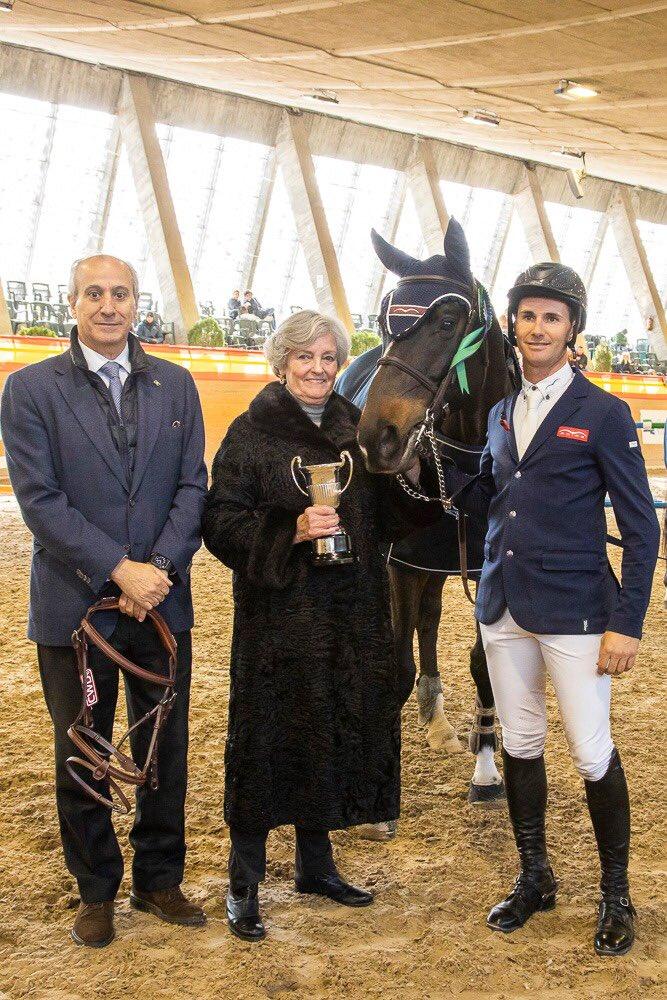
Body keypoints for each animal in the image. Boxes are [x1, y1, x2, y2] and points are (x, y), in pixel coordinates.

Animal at [344, 219, 520, 804]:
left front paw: (486, 767)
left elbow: (485, 665)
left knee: (430, 616)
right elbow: (396, 662)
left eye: (446, 321)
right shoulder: (402, 563)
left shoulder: (486, 569)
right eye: (384, 320)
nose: (378, 437)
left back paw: (436, 714)